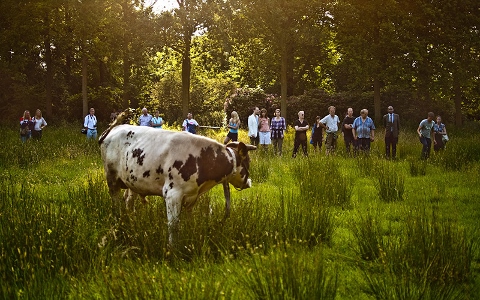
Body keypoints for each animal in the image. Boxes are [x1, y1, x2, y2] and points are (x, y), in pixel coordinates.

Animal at [97, 120, 255, 245]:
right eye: (248, 161)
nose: (249, 182)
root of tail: (115, 128)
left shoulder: (192, 196)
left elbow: (189, 220)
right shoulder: (172, 194)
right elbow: (173, 225)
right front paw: (172, 249)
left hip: (132, 183)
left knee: (129, 203)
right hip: (112, 179)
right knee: (116, 204)